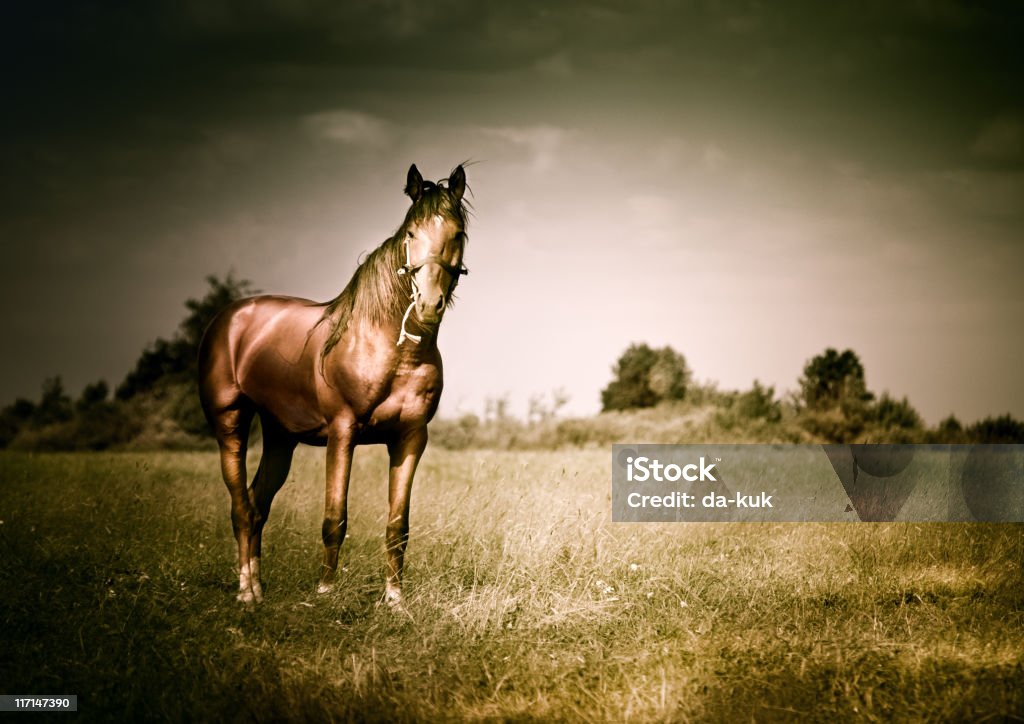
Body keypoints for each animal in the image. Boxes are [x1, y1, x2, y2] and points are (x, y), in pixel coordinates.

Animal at [197, 163, 468, 606]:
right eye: (411, 233)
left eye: (457, 234)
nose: (429, 305)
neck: (387, 345)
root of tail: (231, 317)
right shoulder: (343, 432)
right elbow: (334, 518)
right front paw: (325, 591)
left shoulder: (411, 438)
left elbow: (398, 525)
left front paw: (394, 599)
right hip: (230, 423)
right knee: (240, 507)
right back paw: (246, 593)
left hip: (280, 437)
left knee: (257, 505)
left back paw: (258, 586)